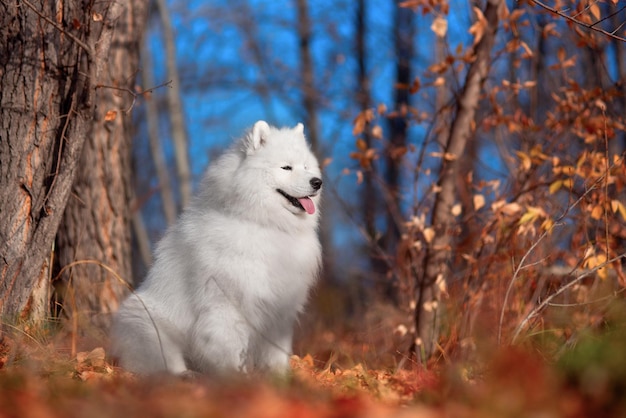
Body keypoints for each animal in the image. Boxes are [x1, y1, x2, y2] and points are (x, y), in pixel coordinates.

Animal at [109, 121, 322, 376]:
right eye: (286, 167)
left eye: (306, 166)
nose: (317, 182)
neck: (265, 225)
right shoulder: (226, 305)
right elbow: (228, 348)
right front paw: (233, 377)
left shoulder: (280, 309)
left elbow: (276, 353)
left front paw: (279, 378)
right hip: (149, 326)